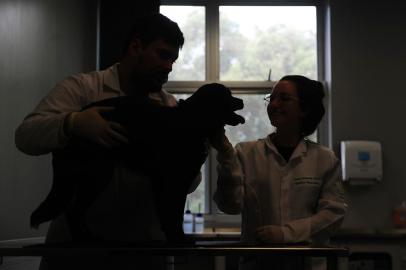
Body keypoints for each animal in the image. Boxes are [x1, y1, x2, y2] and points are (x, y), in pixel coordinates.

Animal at [30, 83, 244, 245]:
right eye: (227, 95)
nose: (241, 101)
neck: (192, 121)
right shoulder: (171, 180)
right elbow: (171, 213)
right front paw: (178, 239)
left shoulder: (172, 181)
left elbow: (170, 213)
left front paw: (175, 237)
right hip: (98, 173)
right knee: (73, 211)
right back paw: (85, 240)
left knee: (74, 211)